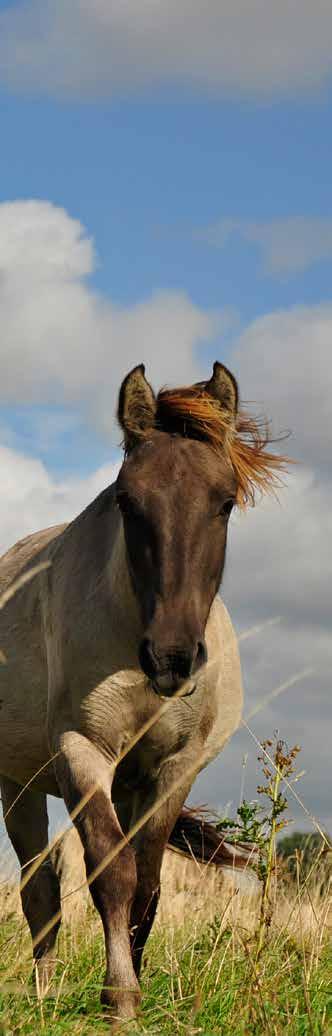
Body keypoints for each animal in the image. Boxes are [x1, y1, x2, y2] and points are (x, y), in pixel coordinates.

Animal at [0, 362, 286, 1027]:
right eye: (128, 501)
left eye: (225, 502)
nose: (171, 658)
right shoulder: (83, 754)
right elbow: (112, 873)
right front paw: (121, 997)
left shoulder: (172, 770)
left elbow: (148, 885)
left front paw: (134, 987)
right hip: (18, 783)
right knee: (39, 887)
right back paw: (43, 996)